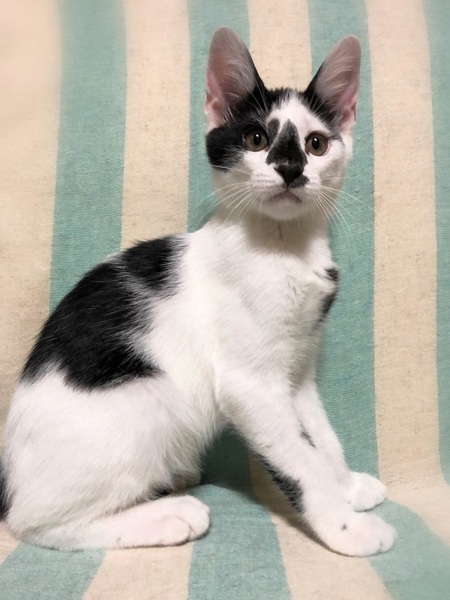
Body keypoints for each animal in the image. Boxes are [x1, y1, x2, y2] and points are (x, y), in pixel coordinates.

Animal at [0, 28, 396, 556]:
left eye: (316, 144)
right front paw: (346, 527)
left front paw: (347, 485)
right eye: (256, 138)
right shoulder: (249, 385)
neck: (283, 246)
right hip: (152, 399)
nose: (291, 168)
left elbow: (320, 435)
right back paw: (167, 515)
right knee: (35, 524)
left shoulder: (298, 372)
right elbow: (299, 461)